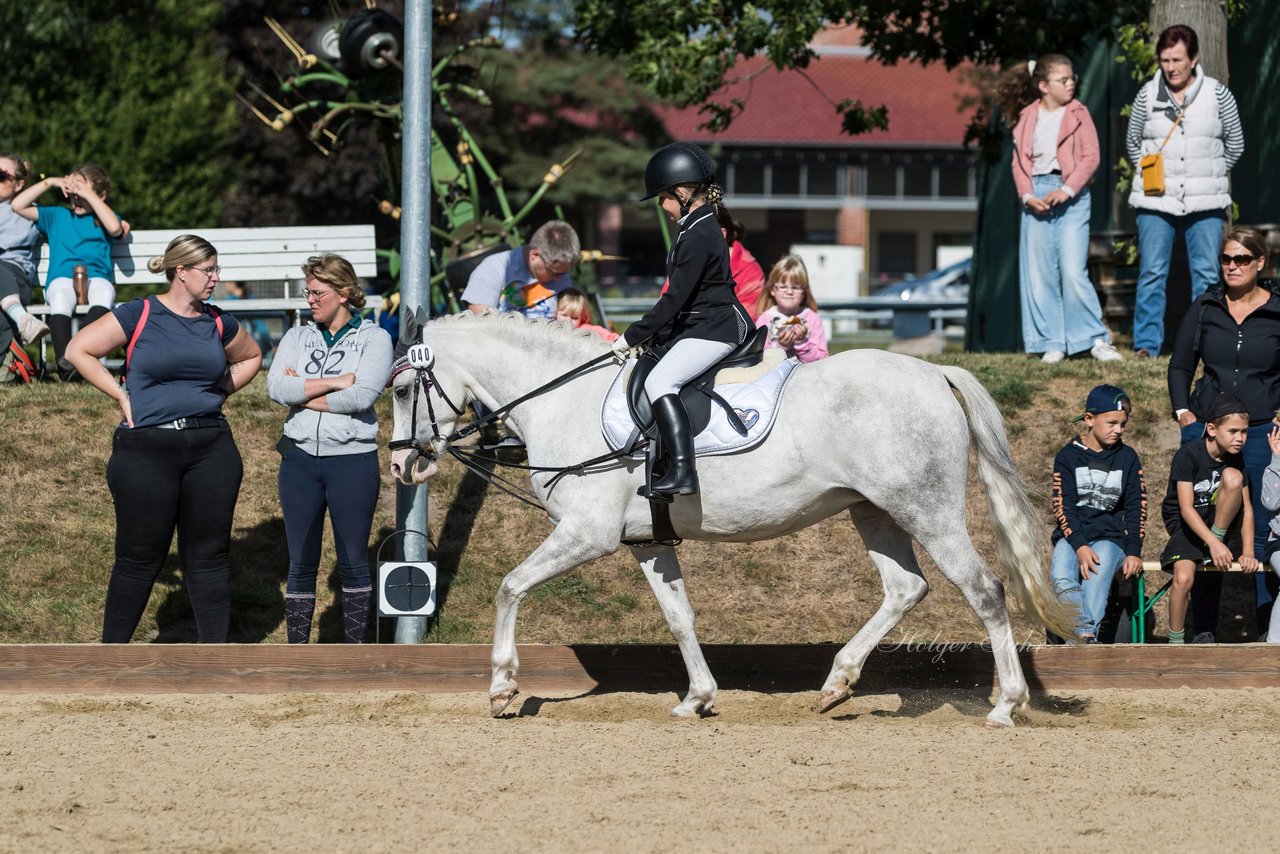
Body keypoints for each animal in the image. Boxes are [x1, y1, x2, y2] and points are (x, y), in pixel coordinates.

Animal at [389, 313, 1070, 727]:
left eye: (399, 391)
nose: (401, 466)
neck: (565, 399)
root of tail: (933, 370)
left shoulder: (587, 534)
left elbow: (510, 587)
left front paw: (503, 688)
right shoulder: (646, 541)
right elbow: (679, 617)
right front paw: (697, 698)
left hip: (926, 509)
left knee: (984, 591)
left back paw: (1005, 705)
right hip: (874, 511)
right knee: (906, 588)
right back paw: (837, 683)